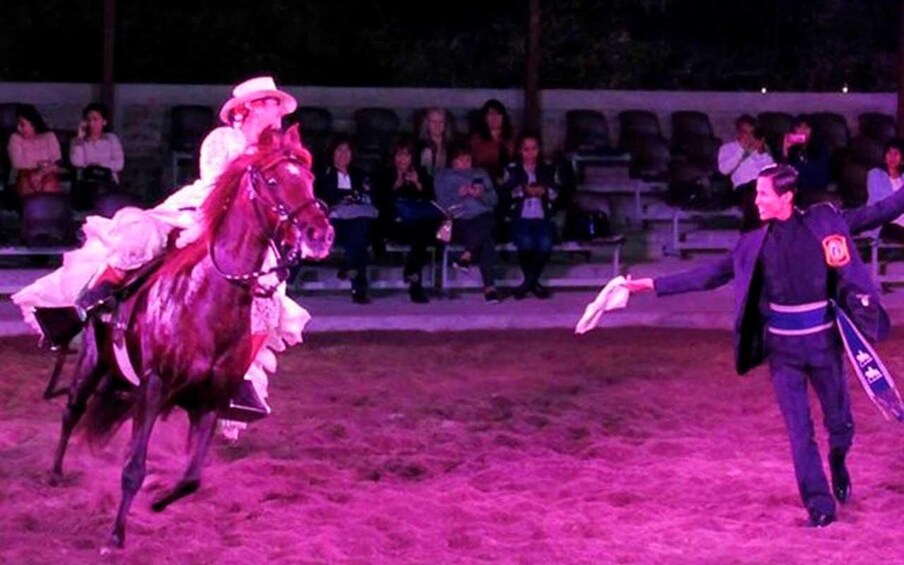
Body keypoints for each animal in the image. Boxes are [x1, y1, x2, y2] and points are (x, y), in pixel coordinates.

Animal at [49, 125, 334, 548]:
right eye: (273, 181)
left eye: (310, 179)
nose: (321, 234)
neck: (204, 299)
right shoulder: (154, 387)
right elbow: (134, 467)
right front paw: (115, 535)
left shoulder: (210, 401)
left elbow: (192, 477)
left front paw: (159, 502)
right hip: (92, 363)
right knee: (72, 411)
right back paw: (54, 472)